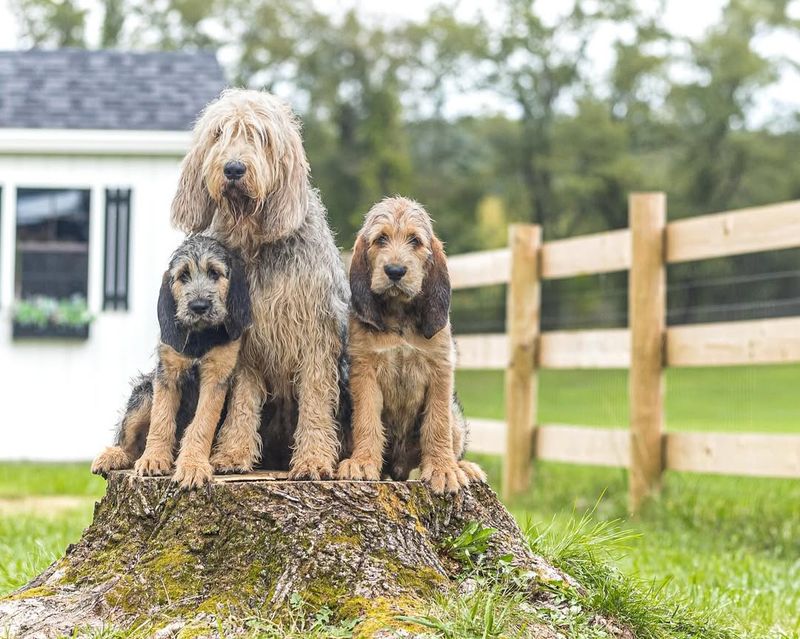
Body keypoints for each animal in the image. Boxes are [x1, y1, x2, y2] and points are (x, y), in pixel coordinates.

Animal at [90, 236, 250, 490]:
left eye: (214, 273)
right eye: (183, 275)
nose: (199, 306)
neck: (199, 337)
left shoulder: (216, 377)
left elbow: (202, 423)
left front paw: (193, 465)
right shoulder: (167, 374)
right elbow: (161, 420)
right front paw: (154, 459)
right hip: (144, 393)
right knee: (131, 446)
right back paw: (112, 455)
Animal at [338, 196, 488, 496]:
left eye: (415, 241)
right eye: (381, 239)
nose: (395, 271)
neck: (399, 317)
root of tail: (399, 470)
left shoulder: (440, 371)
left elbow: (437, 424)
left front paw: (442, 469)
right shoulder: (364, 373)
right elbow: (367, 421)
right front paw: (362, 463)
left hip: (456, 418)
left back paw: (462, 467)